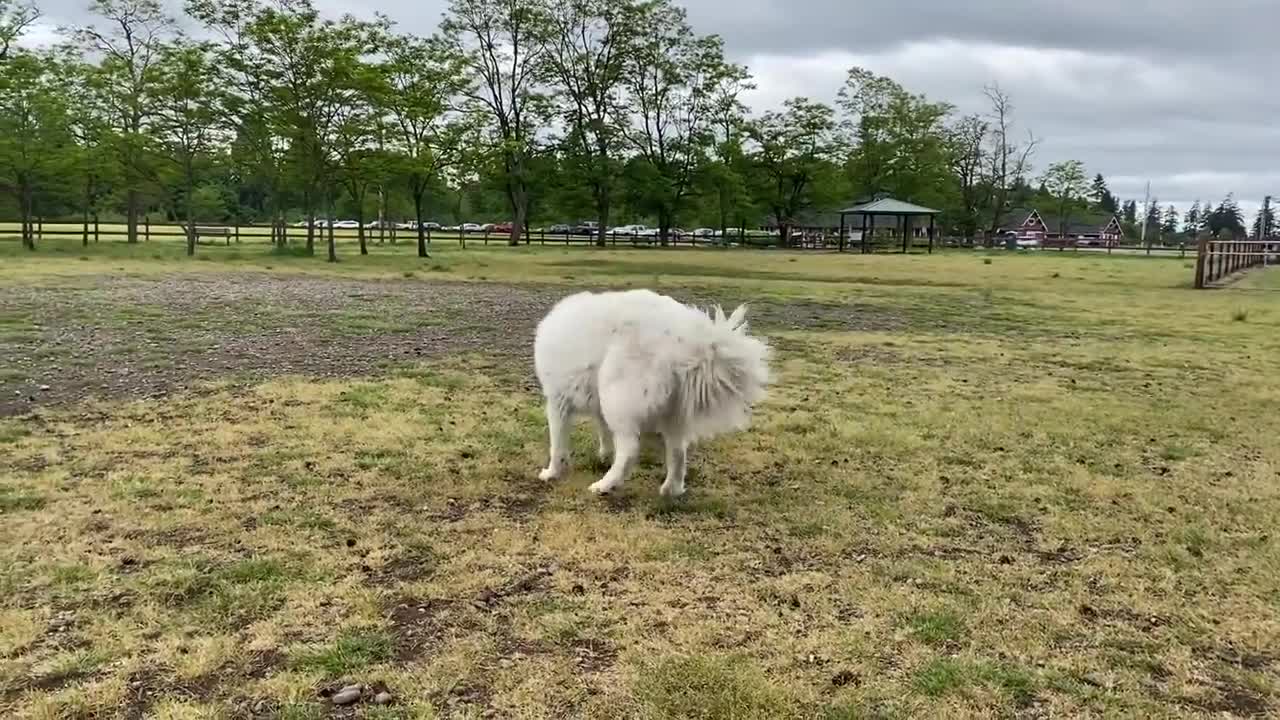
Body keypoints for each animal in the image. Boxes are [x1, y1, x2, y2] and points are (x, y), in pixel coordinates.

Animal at [532, 288, 768, 497]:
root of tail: (687, 341)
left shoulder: (557, 401)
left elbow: (557, 446)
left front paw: (551, 473)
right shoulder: (596, 407)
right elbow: (603, 432)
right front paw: (603, 456)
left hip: (617, 398)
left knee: (629, 451)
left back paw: (605, 485)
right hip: (671, 414)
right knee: (678, 453)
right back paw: (671, 490)